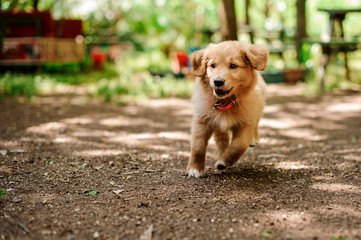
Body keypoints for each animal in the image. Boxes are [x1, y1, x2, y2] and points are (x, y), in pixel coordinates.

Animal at [186, 40, 268, 177]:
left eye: (233, 66)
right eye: (212, 65)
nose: (218, 82)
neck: (225, 103)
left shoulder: (245, 123)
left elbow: (239, 146)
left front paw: (224, 161)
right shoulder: (201, 121)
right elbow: (198, 147)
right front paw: (194, 169)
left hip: (257, 110)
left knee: (255, 125)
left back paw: (253, 139)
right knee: (222, 140)